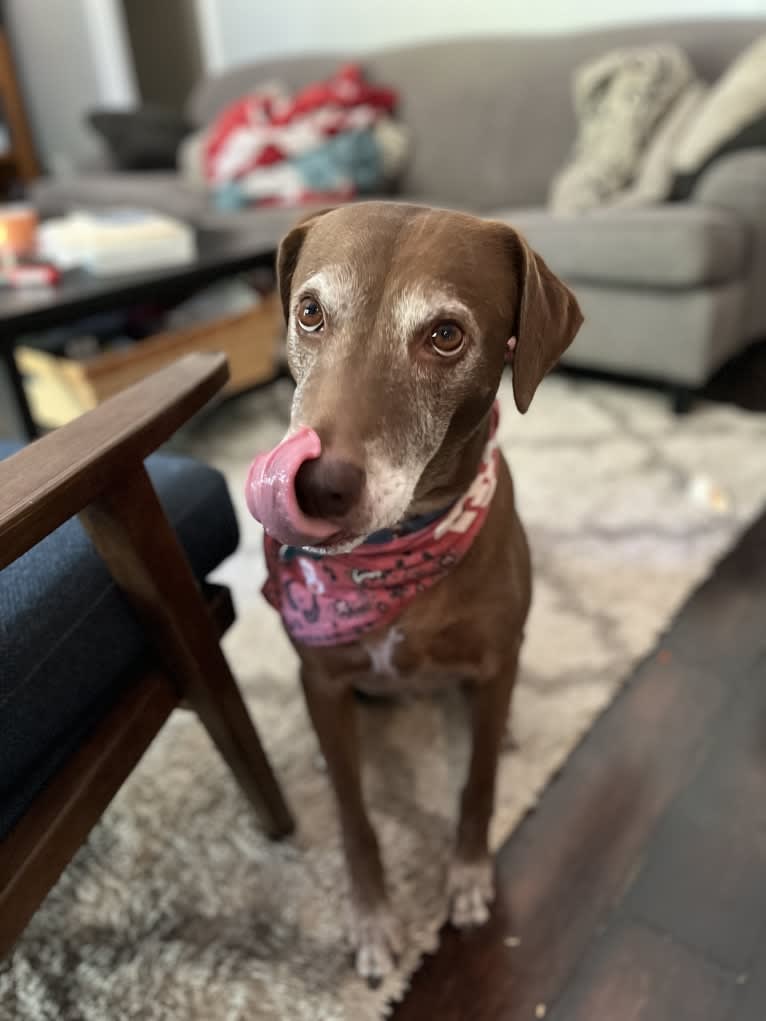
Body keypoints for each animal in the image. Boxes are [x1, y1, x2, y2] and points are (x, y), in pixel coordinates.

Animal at [246, 201, 580, 980]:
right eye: (310, 312)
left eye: (446, 335)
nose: (316, 485)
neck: (391, 556)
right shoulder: (323, 675)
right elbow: (354, 814)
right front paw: (372, 918)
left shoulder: (493, 662)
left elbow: (478, 783)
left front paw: (468, 875)